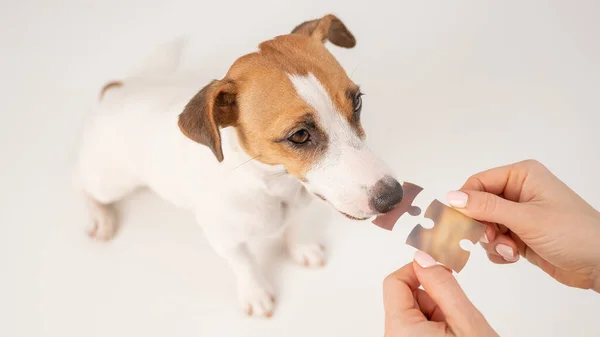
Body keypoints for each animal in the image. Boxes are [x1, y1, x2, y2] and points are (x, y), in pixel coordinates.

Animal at [74, 13, 404, 318]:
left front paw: (301, 248)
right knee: (82, 185)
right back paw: (100, 218)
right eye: (299, 135)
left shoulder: (298, 205)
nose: (394, 197)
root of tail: (118, 91)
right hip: (109, 181)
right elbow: (244, 263)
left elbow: (295, 226)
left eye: (357, 102)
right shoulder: (225, 239)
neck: (269, 185)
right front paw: (255, 293)